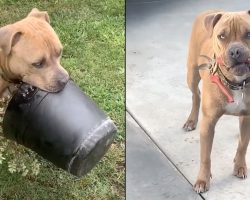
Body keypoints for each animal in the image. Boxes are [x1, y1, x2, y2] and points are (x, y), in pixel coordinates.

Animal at [184, 10, 250, 193]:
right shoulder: (208, 123)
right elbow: (205, 157)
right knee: (196, 95)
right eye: (221, 36)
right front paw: (202, 179)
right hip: (192, 74)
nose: (236, 51)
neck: (237, 84)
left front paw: (240, 165)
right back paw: (191, 120)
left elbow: (243, 145)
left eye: (249, 33)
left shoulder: (247, 118)